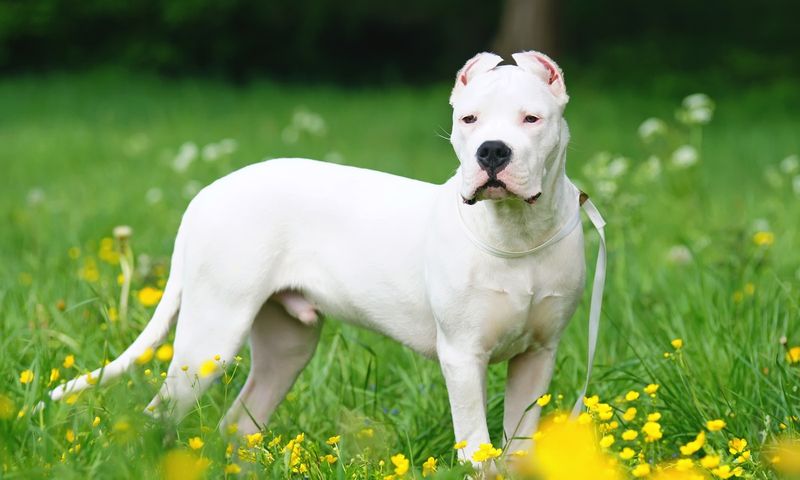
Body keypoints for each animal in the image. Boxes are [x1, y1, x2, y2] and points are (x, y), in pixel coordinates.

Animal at [47, 51, 604, 464]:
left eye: (531, 119)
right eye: (468, 119)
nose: (492, 151)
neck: (517, 234)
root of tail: (207, 193)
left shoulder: (537, 358)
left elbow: (516, 448)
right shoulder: (463, 358)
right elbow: (477, 451)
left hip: (285, 347)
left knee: (237, 423)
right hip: (211, 337)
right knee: (158, 415)